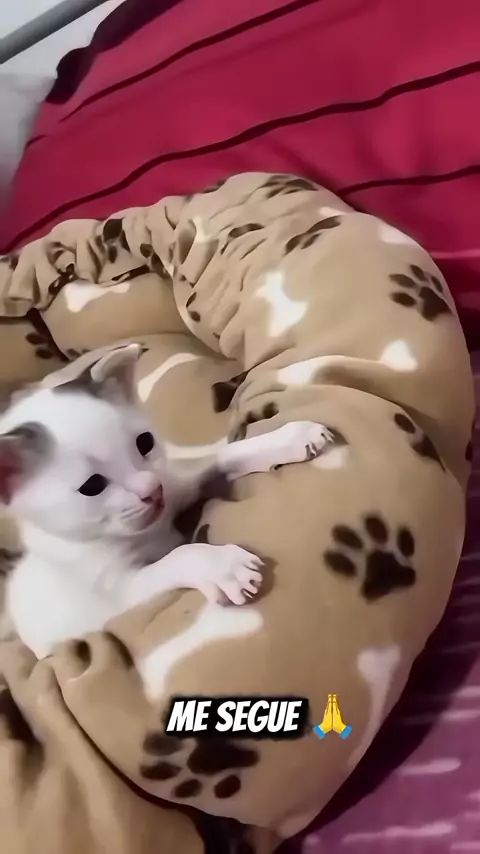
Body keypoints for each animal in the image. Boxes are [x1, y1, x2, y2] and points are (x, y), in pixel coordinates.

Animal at [0, 344, 333, 659]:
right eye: (92, 486)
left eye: (144, 443)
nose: (152, 489)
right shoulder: (124, 594)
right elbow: (178, 556)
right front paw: (222, 566)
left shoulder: (176, 484)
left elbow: (225, 455)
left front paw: (286, 439)